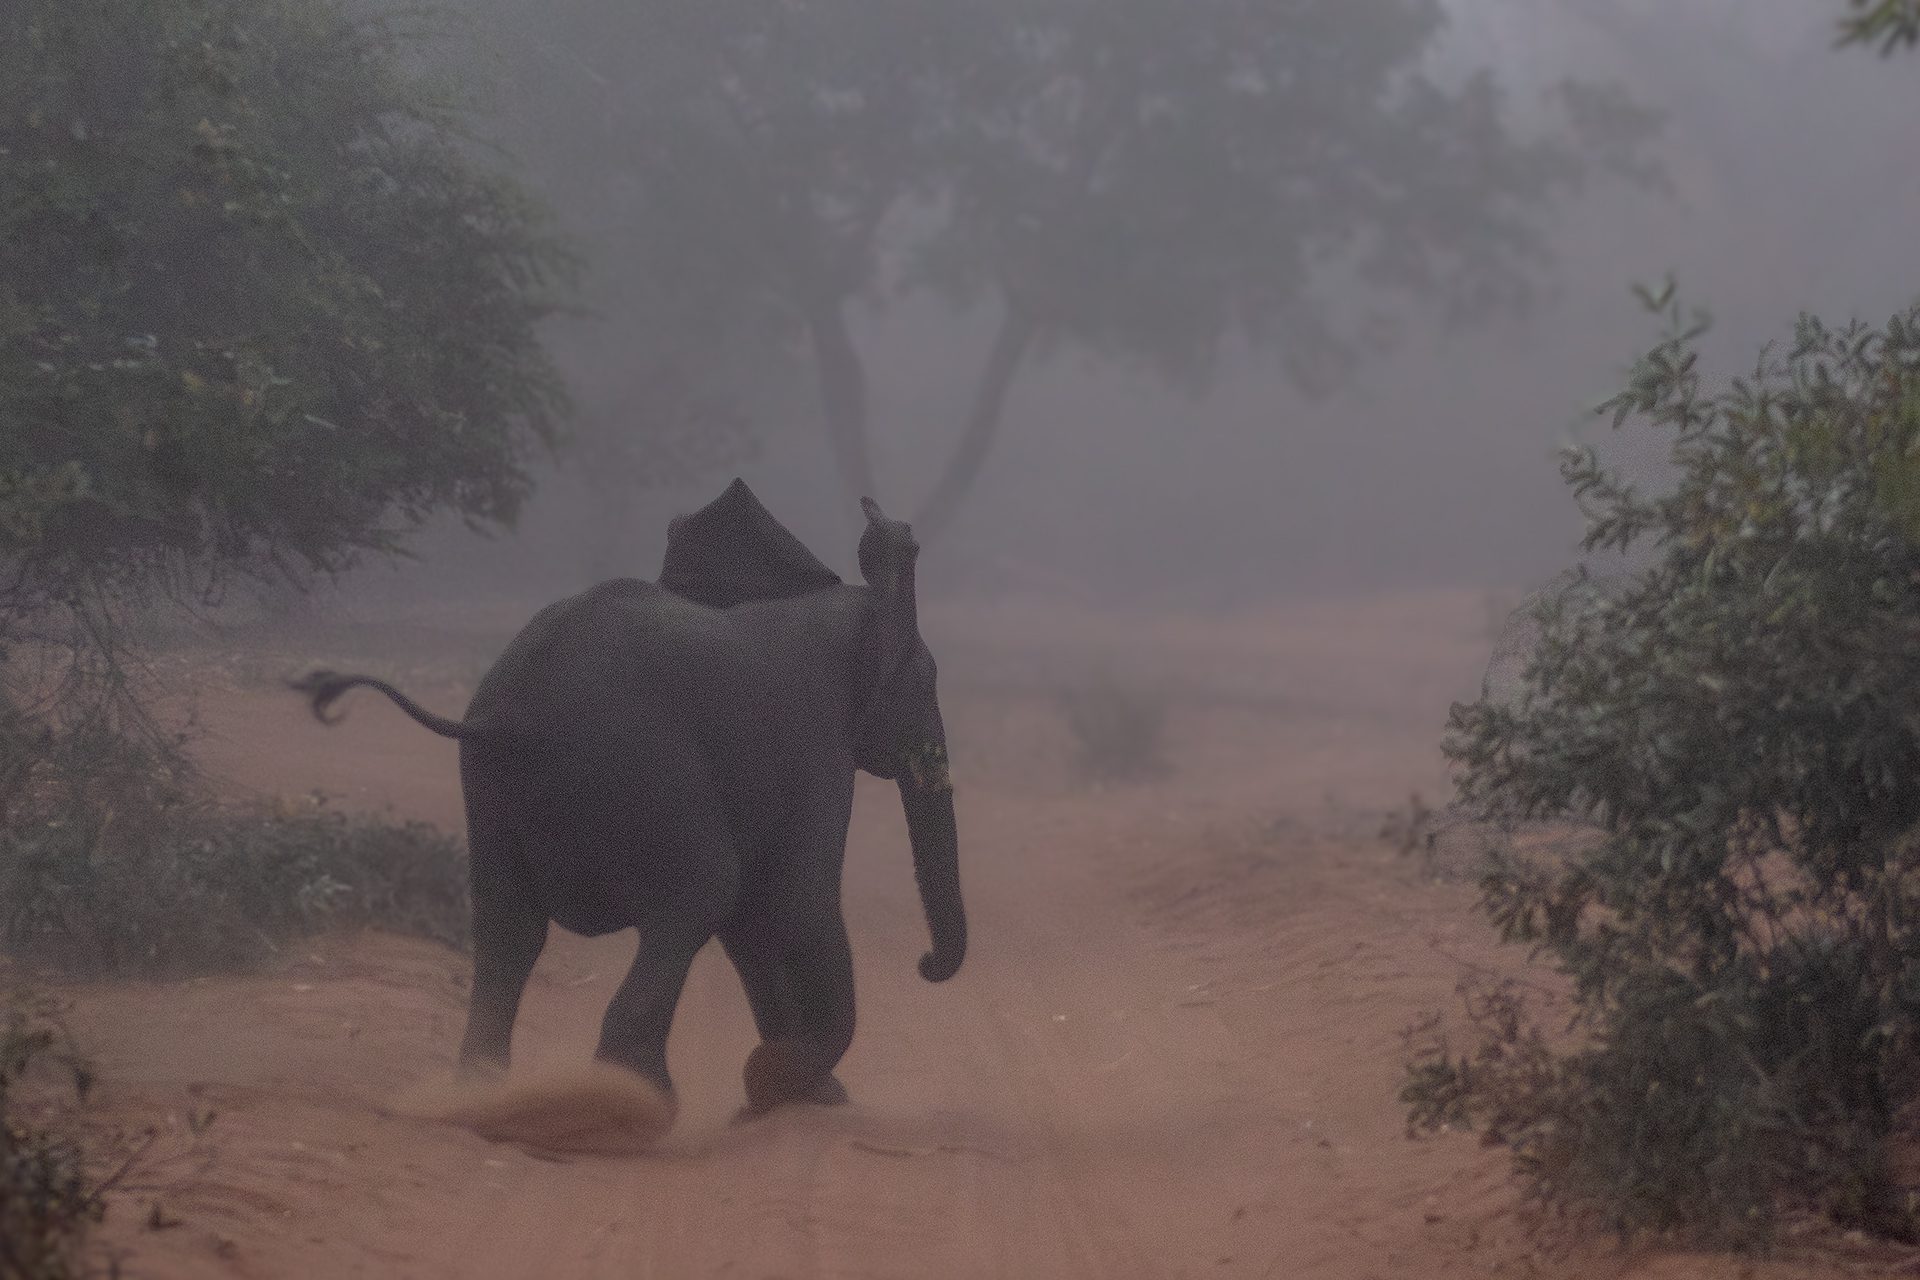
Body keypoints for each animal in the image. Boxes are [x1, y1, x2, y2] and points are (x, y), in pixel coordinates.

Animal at [291, 480, 965, 1119]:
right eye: (925, 680)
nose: (926, 963)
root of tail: (502, 718)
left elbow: (754, 917)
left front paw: (795, 1093)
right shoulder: (812, 742)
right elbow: (794, 898)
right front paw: (776, 1083)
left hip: (489, 789)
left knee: (510, 928)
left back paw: (481, 1095)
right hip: (638, 766)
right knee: (698, 893)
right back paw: (631, 1106)